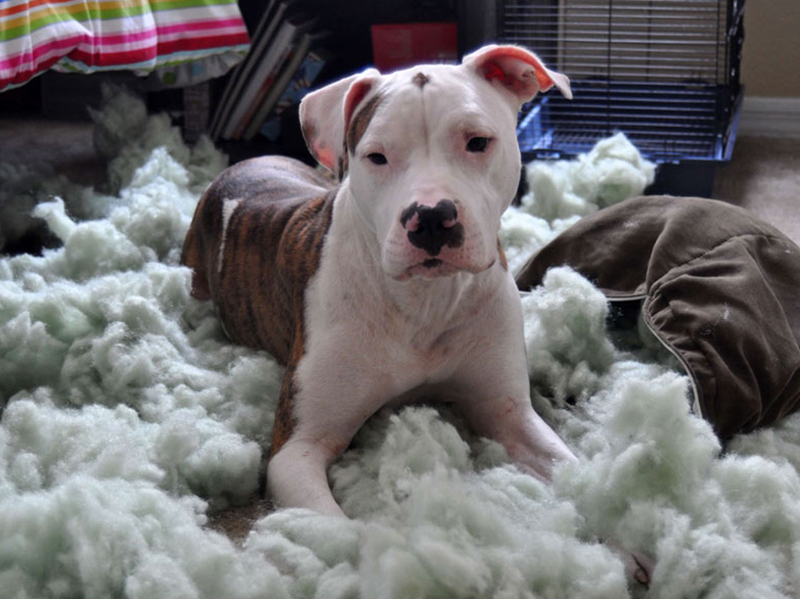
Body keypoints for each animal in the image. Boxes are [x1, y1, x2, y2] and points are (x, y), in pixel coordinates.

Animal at [182, 44, 650, 585]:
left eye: (477, 142)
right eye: (377, 156)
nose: (430, 218)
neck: (424, 303)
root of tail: (244, 161)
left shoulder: (508, 412)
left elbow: (573, 471)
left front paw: (621, 536)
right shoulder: (296, 450)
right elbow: (347, 531)